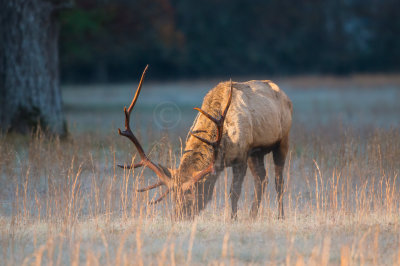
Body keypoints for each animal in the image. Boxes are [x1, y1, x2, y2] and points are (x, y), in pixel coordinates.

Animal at [117, 65, 292, 219]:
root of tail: (285, 95)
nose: (177, 217)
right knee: (262, 180)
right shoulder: (248, 152)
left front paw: (233, 219)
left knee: (278, 181)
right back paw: (252, 216)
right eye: (174, 197)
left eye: (193, 195)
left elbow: (234, 192)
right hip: (256, 152)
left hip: (283, 140)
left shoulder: (242, 155)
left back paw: (280, 216)